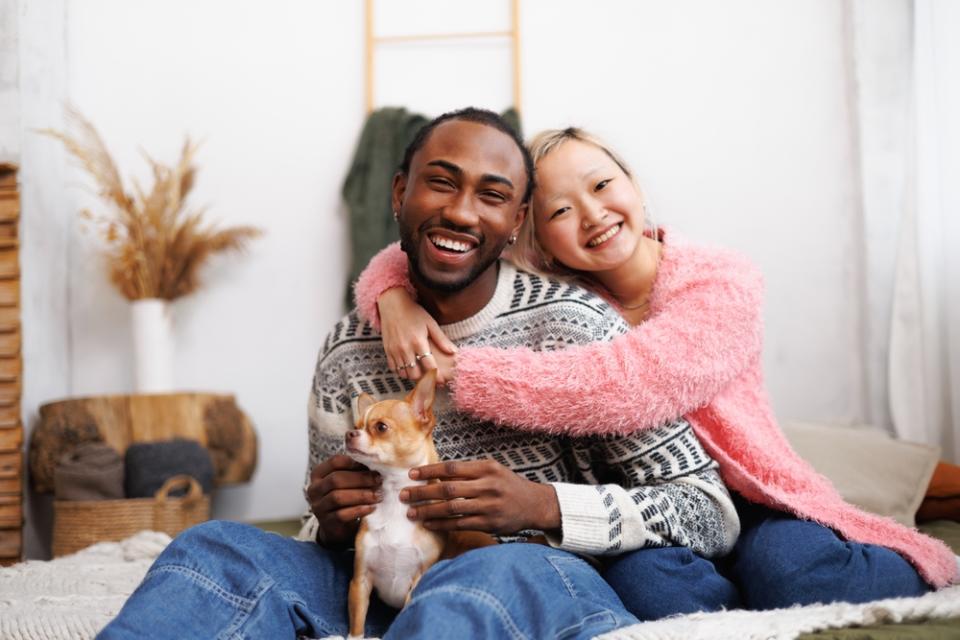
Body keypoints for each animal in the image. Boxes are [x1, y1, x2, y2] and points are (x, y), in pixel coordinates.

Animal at [344, 368, 496, 636]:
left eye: (381, 427)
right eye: (356, 426)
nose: (349, 434)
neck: (395, 495)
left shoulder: (416, 582)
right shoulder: (360, 580)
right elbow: (357, 624)